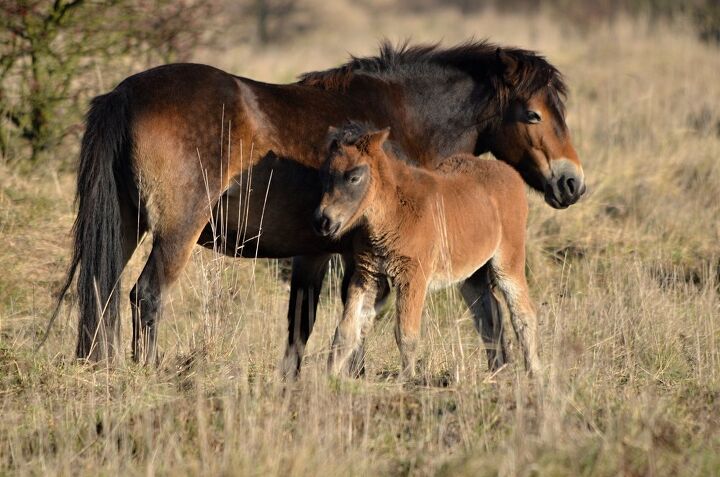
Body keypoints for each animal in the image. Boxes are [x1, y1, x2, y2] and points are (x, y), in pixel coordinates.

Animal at [316, 122, 540, 376]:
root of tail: (511, 174)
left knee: (522, 314)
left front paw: (408, 379)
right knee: (490, 315)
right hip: (471, 275)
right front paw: (328, 378)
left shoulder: (413, 277)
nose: (323, 221)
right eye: (324, 174)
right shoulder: (367, 275)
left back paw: (534, 373)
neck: (393, 209)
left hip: (508, 264)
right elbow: (345, 332)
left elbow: (405, 334)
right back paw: (497, 372)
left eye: (353, 177)